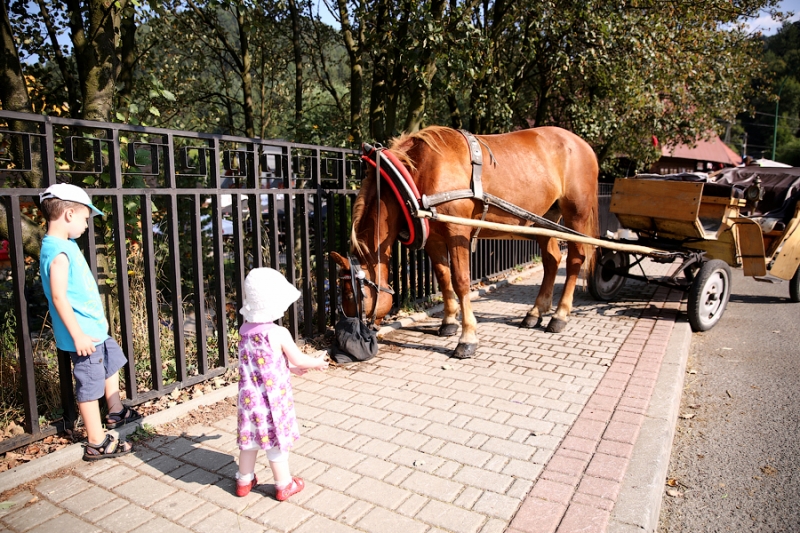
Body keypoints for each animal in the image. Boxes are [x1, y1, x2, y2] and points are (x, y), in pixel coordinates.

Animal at [328, 124, 596, 358]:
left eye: (352, 295)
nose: (343, 345)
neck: (417, 173)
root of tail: (583, 145)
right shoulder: (434, 238)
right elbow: (443, 276)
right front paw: (448, 322)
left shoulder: (458, 233)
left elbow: (461, 281)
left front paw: (467, 338)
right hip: (544, 220)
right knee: (552, 260)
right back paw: (535, 311)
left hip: (576, 216)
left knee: (574, 259)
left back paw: (560, 315)